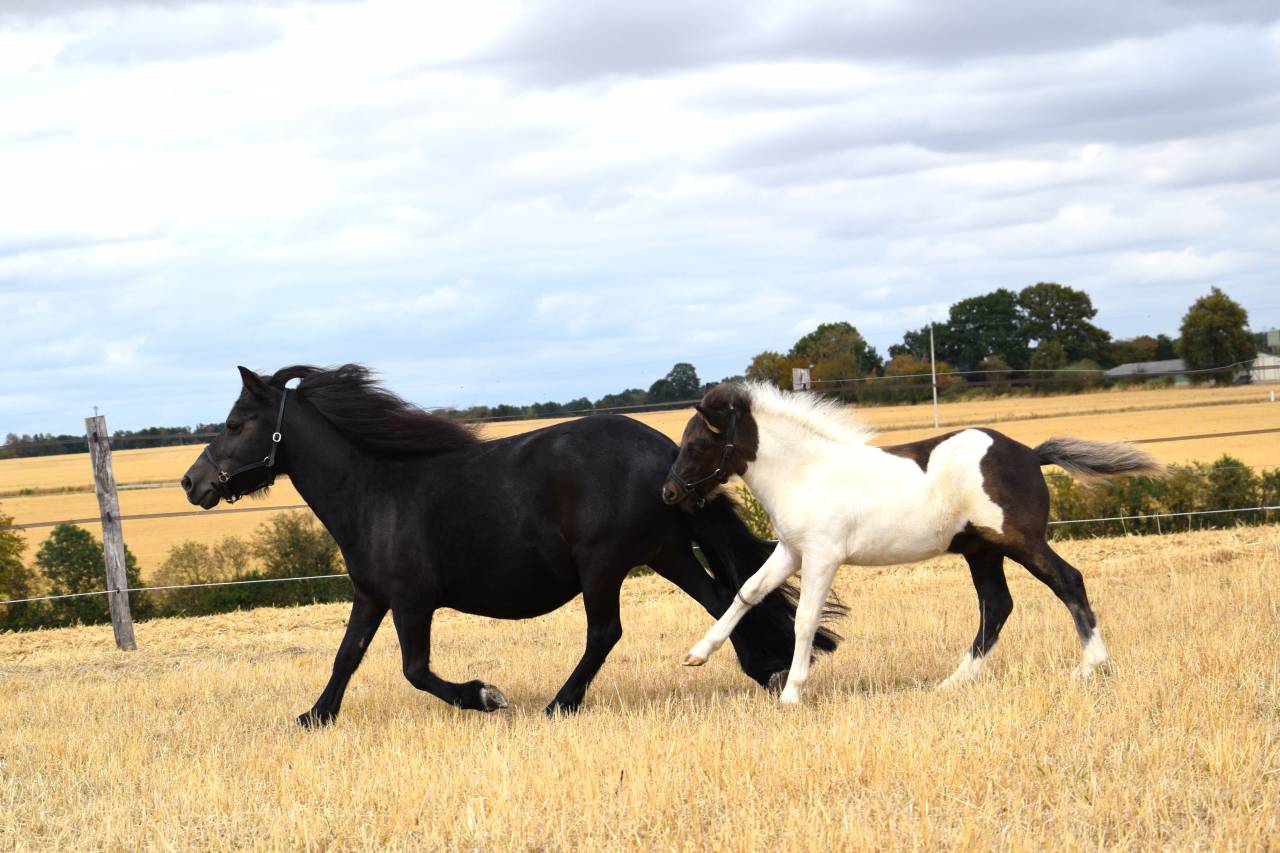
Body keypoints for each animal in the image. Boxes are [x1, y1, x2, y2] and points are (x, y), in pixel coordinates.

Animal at [182, 365, 842, 724]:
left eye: (236, 423)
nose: (194, 482)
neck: (374, 489)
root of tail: (667, 458)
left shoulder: (411, 601)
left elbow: (415, 670)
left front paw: (485, 696)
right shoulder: (371, 596)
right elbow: (346, 658)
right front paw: (314, 716)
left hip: (603, 566)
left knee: (606, 632)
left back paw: (562, 703)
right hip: (668, 555)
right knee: (721, 599)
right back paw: (763, 669)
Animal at [662, 381, 1163, 705]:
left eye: (696, 446)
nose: (668, 494)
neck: (804, 473)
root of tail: (1030, 454)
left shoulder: (823, 556)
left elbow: (805, 619)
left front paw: (792, 694)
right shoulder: (791, 551)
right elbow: (747, 593)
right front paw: (696, 655)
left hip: (1019, 540)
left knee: (1067, 581)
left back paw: (1094, 667)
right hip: (983, 552)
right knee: (996, 607)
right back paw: (952, 684)